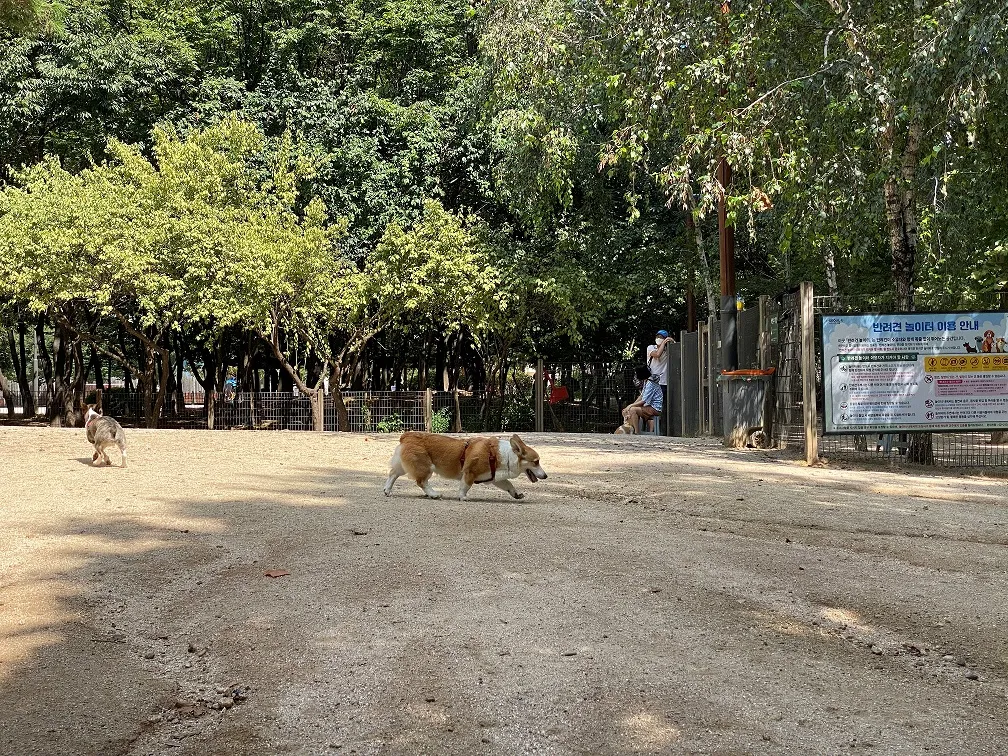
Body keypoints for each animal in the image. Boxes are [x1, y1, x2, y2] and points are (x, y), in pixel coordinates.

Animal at [381, 431, 548, 504]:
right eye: (536, 462)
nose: (546, 476)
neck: (505, 455)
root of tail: (406, 435)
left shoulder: (496, 478)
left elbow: (509, 486)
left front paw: (517, 494)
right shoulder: (470, 472)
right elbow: (465, 486)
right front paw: (463, 497)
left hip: (405, 466)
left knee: (393, 474)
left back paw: (387, 490)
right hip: (425, 467)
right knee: (421, 482)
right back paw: (434, 494)